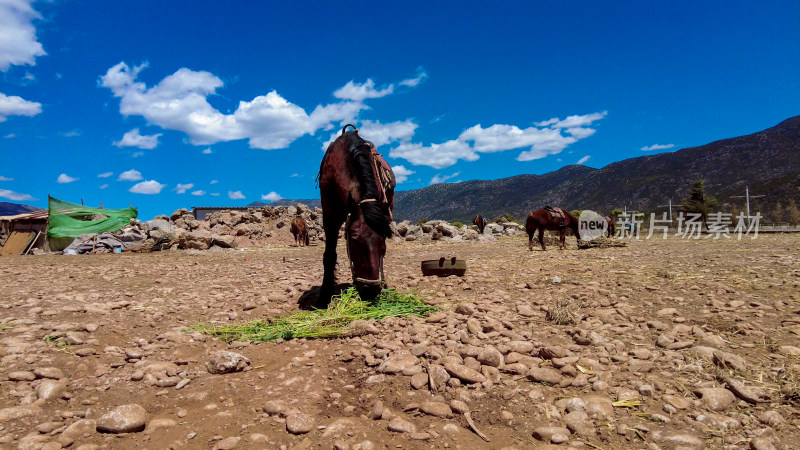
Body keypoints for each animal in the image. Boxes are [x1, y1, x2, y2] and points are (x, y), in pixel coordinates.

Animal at [318, 125, 396, 304]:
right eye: (353, 241)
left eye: (383, 240)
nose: (371, 291)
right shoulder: (330, 214)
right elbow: (329, 254)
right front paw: (324, 295)